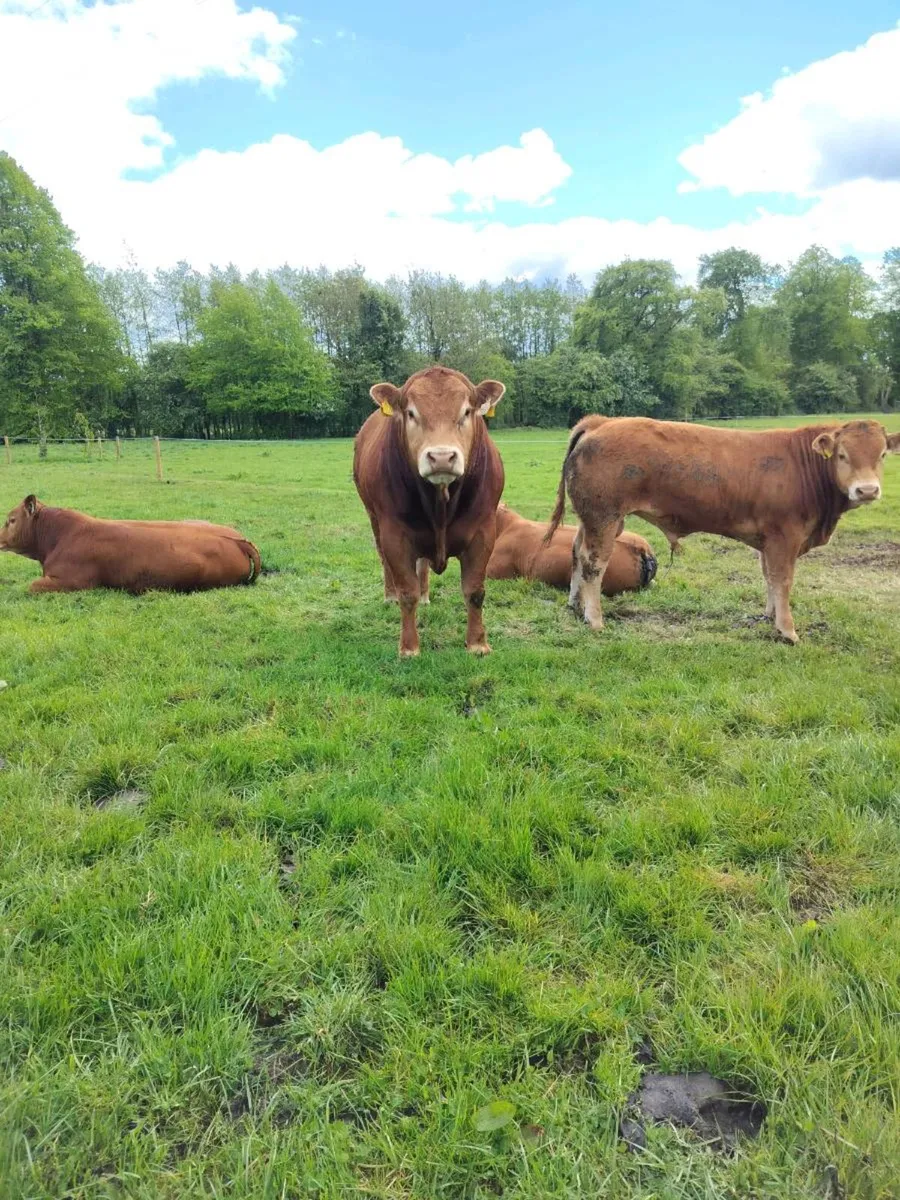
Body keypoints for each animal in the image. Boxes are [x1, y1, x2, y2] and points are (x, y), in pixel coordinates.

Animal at [353, 365, 506, 657]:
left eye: (466, 411)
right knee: (384, 559)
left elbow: (474, 591)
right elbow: (406, 592)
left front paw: (478, 643)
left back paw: (425, 595)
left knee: (422, 563)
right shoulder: (395, 535)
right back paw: (390, 594)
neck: (441, 504)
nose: (442, 457)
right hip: (373, 518)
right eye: (411, 413)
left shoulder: (484, 532)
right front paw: (409, 647)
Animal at [546, 416, 900, 643]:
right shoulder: (785, 537)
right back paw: (594, 618)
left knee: (577, 554)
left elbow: (769, 578)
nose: (867, 490)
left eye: (882, 454)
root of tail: (601, 421)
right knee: (594, 565)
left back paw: (574, 605)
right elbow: (783, 580)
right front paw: (788, 630)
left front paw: (770, 616)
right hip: (605, 518)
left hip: (591, 520)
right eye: (842, 455)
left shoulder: (769, 541)